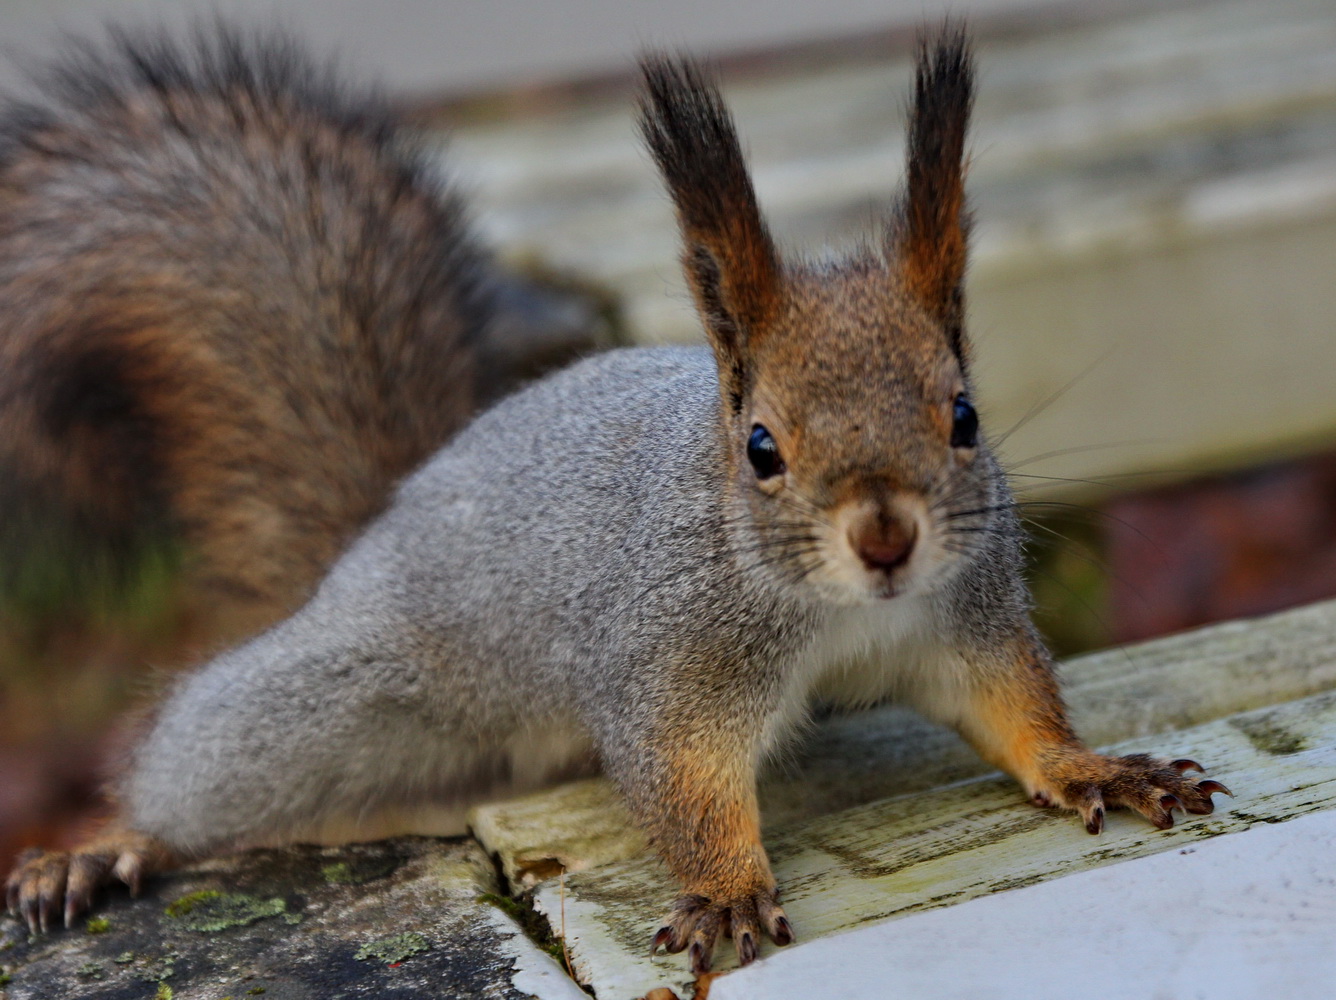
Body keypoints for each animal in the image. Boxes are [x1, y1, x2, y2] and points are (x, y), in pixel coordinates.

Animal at [5, 23, 1223, 977]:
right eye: (761, 445)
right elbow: (682, 781)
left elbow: (1014, 706)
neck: (835, 611)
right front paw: (726, 886)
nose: (885, 539)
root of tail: (372, 525)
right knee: (206, 762)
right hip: (344, 695)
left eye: (964, 415)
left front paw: (1093, 764)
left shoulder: (965, 618)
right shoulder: (668, 659)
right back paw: (108, 845)